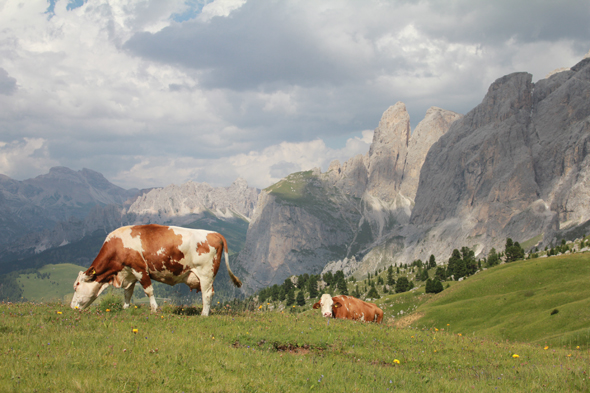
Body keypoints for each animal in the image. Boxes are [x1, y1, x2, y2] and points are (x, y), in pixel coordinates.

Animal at [70, 224, 243, 316]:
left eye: (76, 286)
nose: (72, 307)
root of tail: (214, 233)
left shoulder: (140, 268)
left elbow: (148, 290)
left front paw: (154, 309)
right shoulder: (129, 273)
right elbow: (128, 293)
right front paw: (125, 308)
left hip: (206, 274)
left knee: (207, 294)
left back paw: (204, 314)